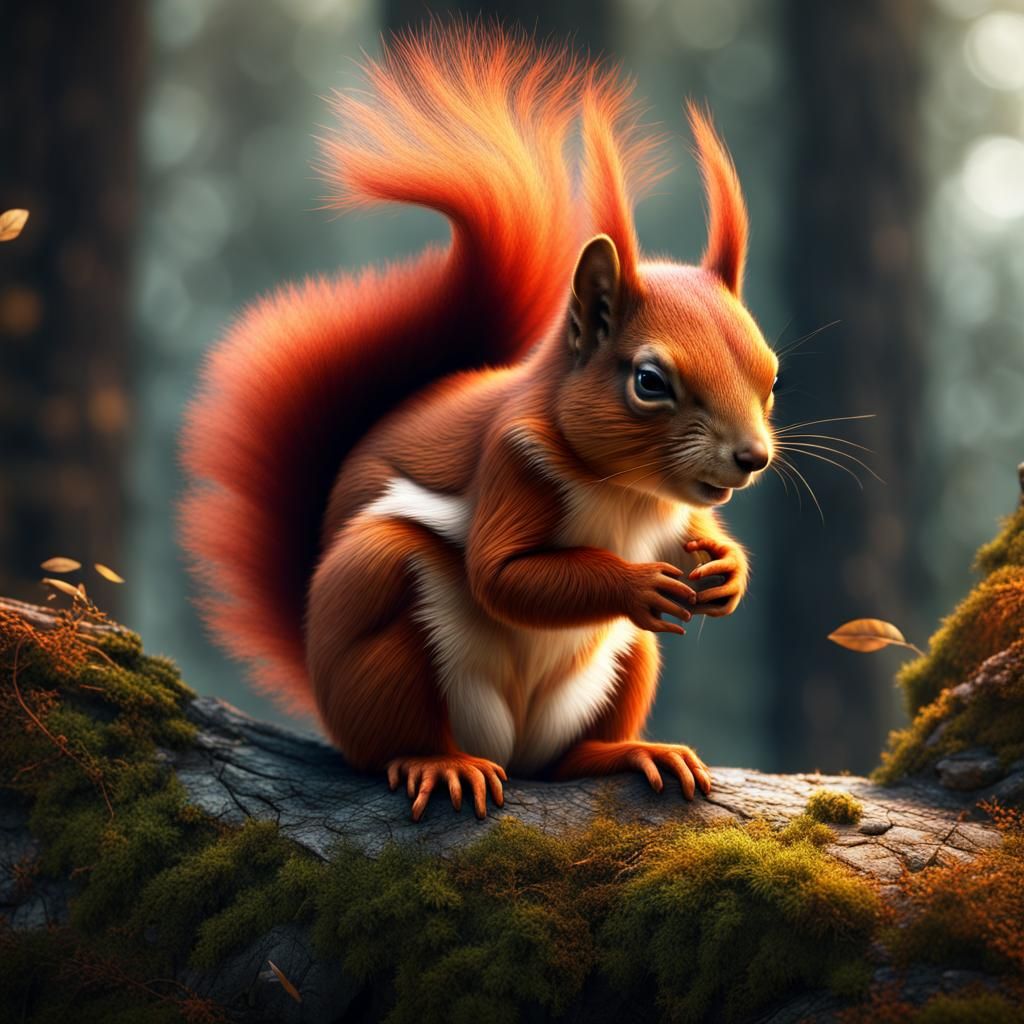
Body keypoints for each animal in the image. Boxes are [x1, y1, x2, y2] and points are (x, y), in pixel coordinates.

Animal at [180, 25, 777, 822]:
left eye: (772, 375)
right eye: (650, 383)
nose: (753, 458)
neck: (626, 493)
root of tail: (508, 748)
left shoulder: (670, 515)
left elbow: (698, 534)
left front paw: (727, 569)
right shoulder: (511, 462)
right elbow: (504, 576)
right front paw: (637, 585)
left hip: (626, 662)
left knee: (566, 758)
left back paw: (627, 752)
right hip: (378, 605)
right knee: (391, 737)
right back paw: (437, 762)